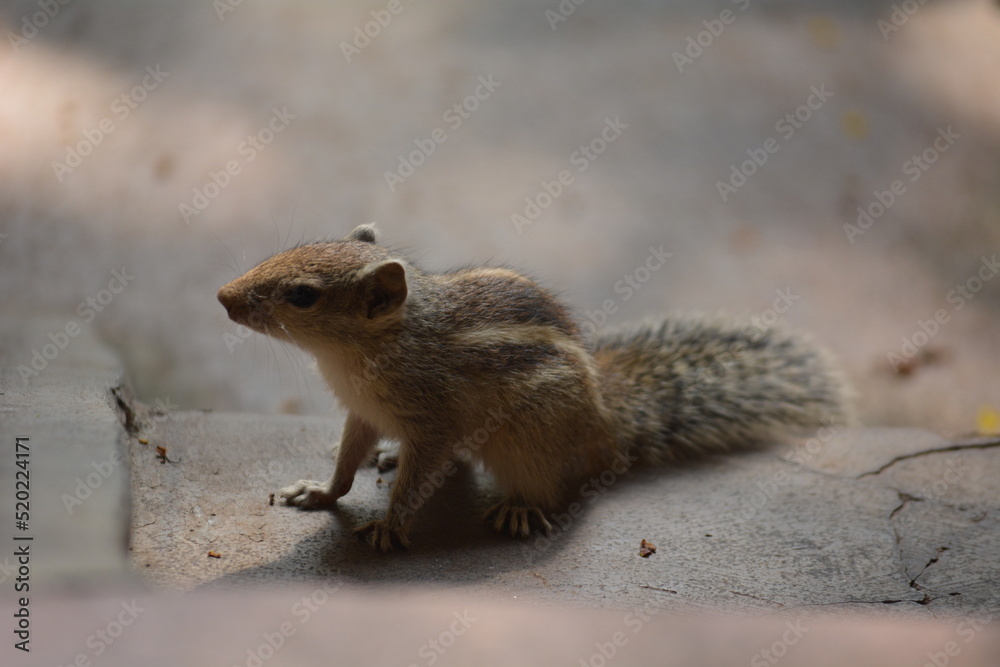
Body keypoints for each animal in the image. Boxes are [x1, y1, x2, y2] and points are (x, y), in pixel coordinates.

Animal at [217, 225, 852, 552]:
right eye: (288, 249)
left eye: (302, 295)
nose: (223, 297)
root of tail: (608, 425)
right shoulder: (362, 412)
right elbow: (348, 461)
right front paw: (321, 492)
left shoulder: (432, 419)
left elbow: (421, 474)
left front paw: (392, 526)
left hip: (531, 441)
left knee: (558, 491)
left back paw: (519, 509)